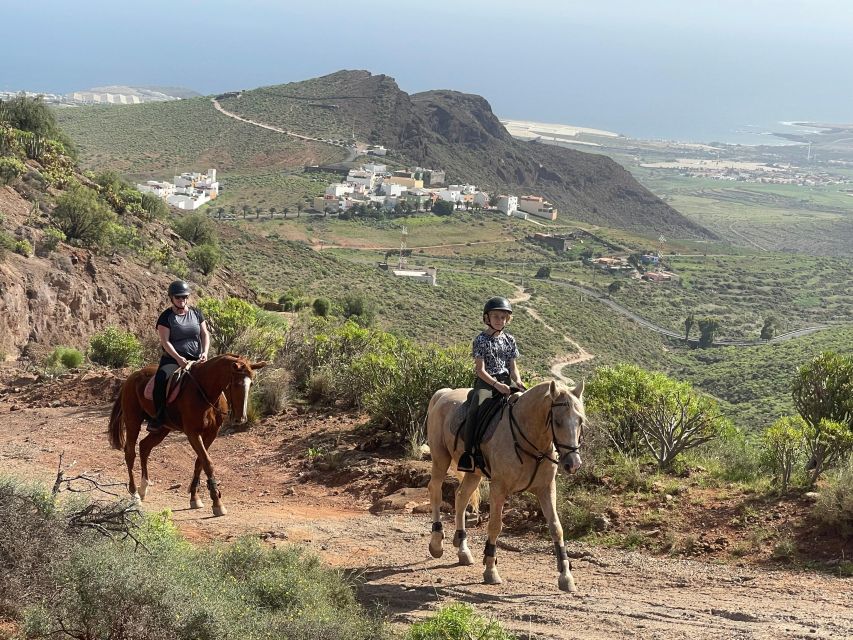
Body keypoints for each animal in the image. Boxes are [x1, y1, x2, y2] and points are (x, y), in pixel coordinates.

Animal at [107, 352, 266, 516]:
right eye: (235, 384)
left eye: (251, 384)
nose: (240, 419)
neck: (205, 392)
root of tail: (133, 376)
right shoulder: (193, 433)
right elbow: (207, 463)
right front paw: (217, 502)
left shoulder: (211, 433)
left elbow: (199, 462)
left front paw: (195, 497)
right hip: (133, 422)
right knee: (130, 453)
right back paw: (135, 495)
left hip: (162, 429)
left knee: (144, 447)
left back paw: (143, 488)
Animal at [426, 378, 584, 592]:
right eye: (557, 422)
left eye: (580, 421)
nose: (573, 464)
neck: (530, 439)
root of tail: (444, 394)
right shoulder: (498, 488)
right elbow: (495, 526)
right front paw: (491, 570)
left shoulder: (546, 488)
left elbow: (556, 528)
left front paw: (566, 576)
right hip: (440, 457)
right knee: (435, 490)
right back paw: (436, 543)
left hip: (473, 473)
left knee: (461, 498)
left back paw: (463, 550)